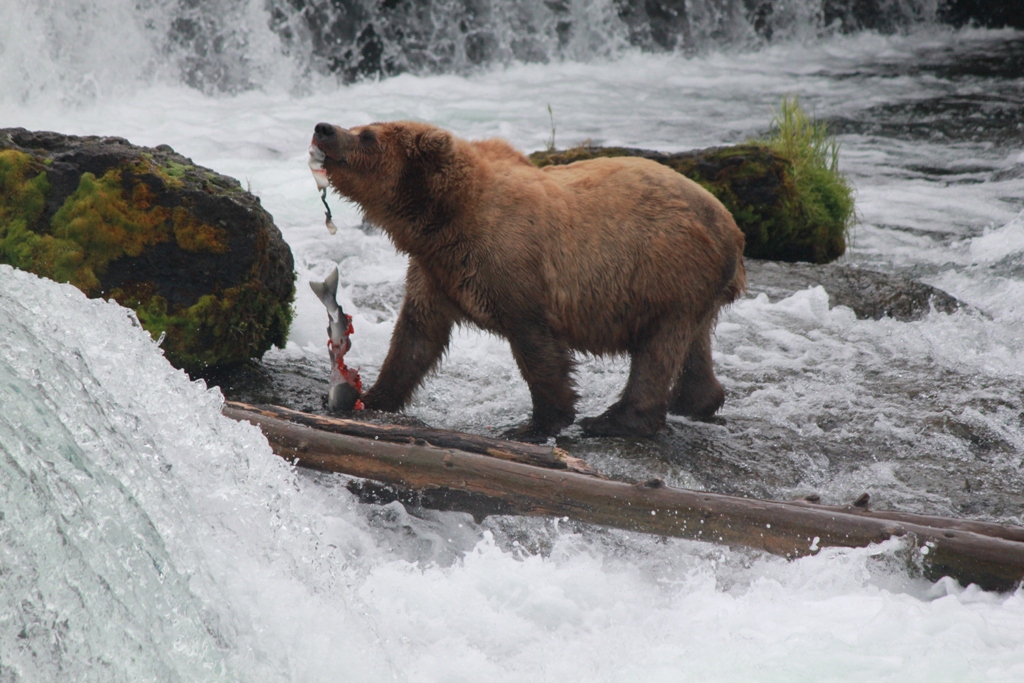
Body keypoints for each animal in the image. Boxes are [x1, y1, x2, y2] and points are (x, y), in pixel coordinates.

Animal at [309, 120, 745, 440]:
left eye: (367, 135)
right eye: (360, 125)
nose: (323, 128)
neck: (442, 218)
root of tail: (733, 228)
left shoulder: (511, 267)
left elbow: (535, 344)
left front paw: (539, 422)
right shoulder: (435, 272)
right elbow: (415, 336)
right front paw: (372, 396)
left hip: (665, 269)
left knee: (657, 350)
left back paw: (615, 420)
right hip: (693, 287)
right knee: (693, 343)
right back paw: (696, 402)